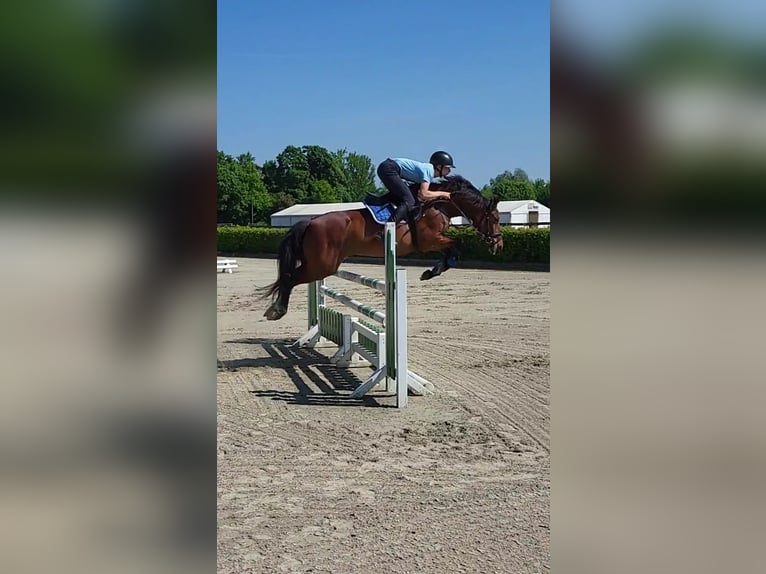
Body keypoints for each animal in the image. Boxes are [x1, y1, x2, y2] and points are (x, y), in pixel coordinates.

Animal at [260, 173, 508, 322]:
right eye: (495, 218)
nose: (499, 244)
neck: (439, 204)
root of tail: (310, 221)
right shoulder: (430, 240)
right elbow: (456, 247)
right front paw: (431, 272)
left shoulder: (434, 242)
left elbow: (451, 252)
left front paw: (431, 271)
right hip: (322, 266)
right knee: (290, 278)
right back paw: (276, 311)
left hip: (318, 265)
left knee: (290, 278)